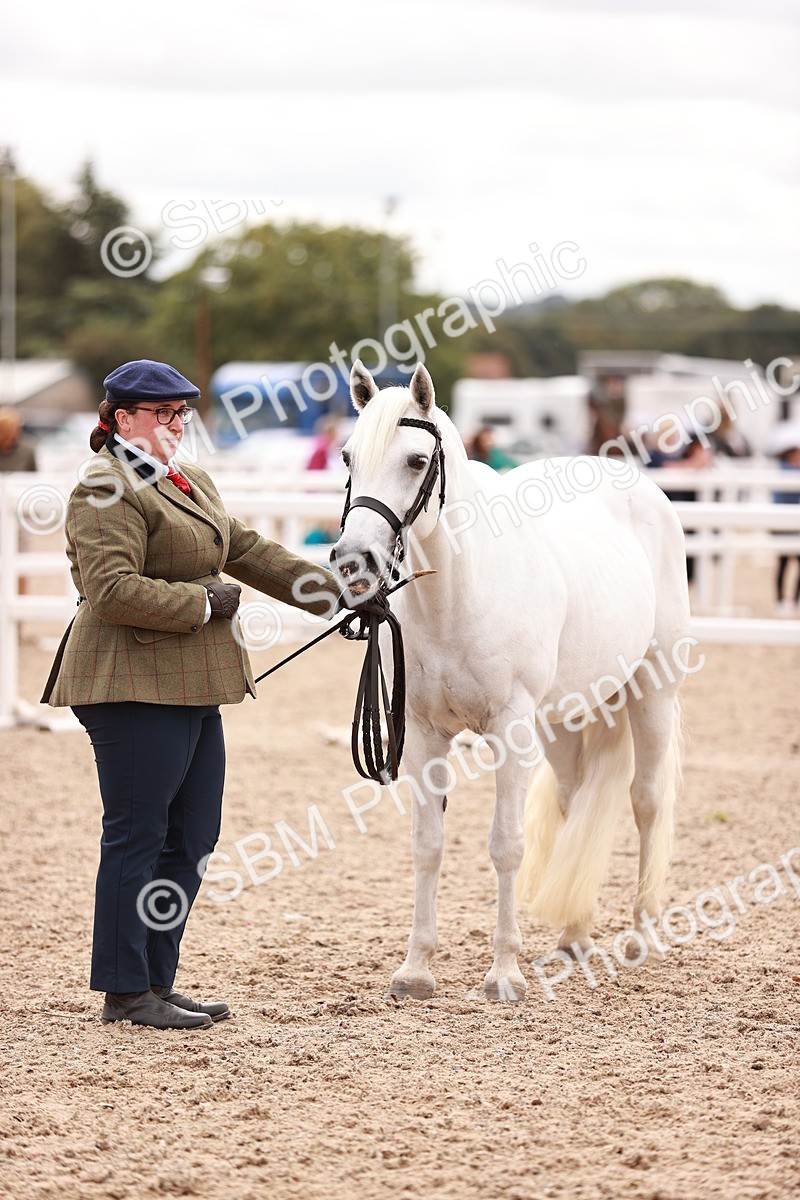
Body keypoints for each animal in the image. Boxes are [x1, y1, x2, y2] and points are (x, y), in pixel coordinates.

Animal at [331, 360, 691, 1001]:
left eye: (416, 461)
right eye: (348, 457)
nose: (354, 563)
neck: (458, 594)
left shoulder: (510, 728)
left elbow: (506, 845)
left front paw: (504, 973)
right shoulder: (422, 733)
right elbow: (428, 844)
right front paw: (416, 969)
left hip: (653, 689)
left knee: (647, 801)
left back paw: (643, 935)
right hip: (565, 716)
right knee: (575, 800)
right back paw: (574, 935)